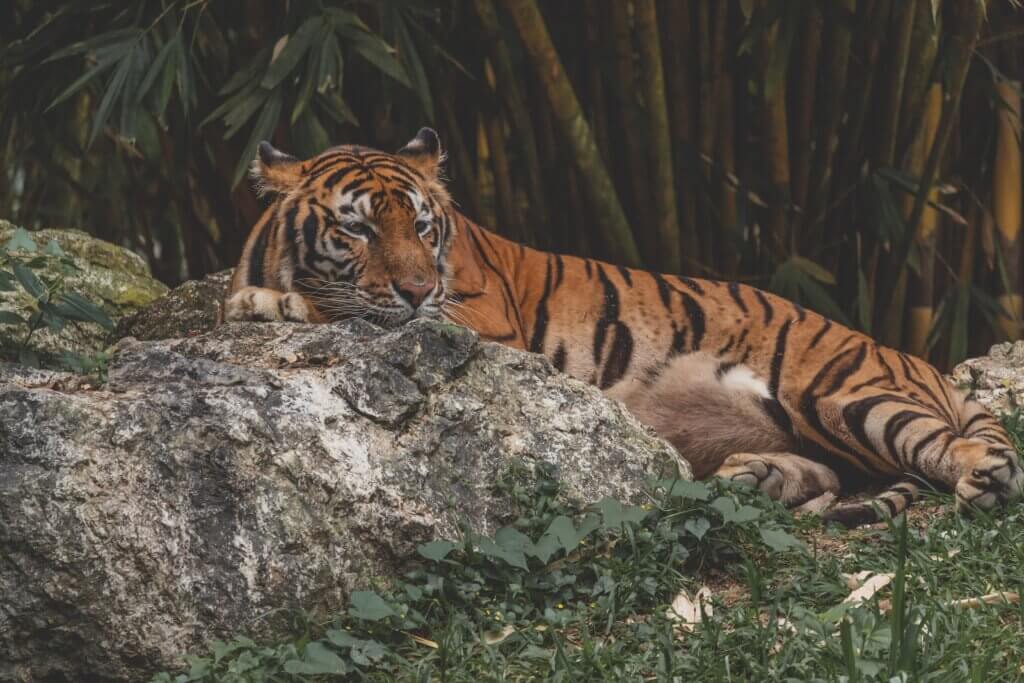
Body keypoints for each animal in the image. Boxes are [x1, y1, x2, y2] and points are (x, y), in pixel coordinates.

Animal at [226, 125, 1024, 528]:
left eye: (422, 227)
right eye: (357, 228)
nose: (419, 288)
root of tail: (910, 357)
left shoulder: (478, 321)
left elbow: (354, 308)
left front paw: (263, 304)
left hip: (840, 392)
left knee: (947, 450)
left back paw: (984, 476)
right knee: (839, 469)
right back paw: (755, 477)